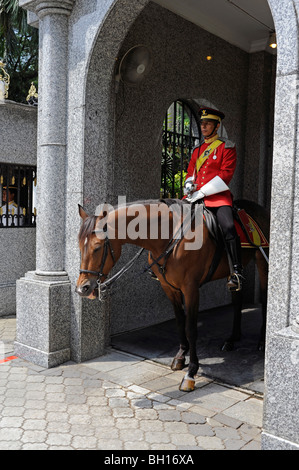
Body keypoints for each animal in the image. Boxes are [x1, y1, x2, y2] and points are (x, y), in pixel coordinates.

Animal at [75, 199, 270, 392]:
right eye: (79, 245)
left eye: (97, 247)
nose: (82, 288)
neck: (169, 237)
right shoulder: (169, 288)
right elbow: (179, 321)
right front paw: (181, 356)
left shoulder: (191, 288)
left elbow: (191, 328)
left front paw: (191, 372)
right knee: (237, 299)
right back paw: (232, 339)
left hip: (263, 262)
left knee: (265, 298)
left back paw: (262, 341)